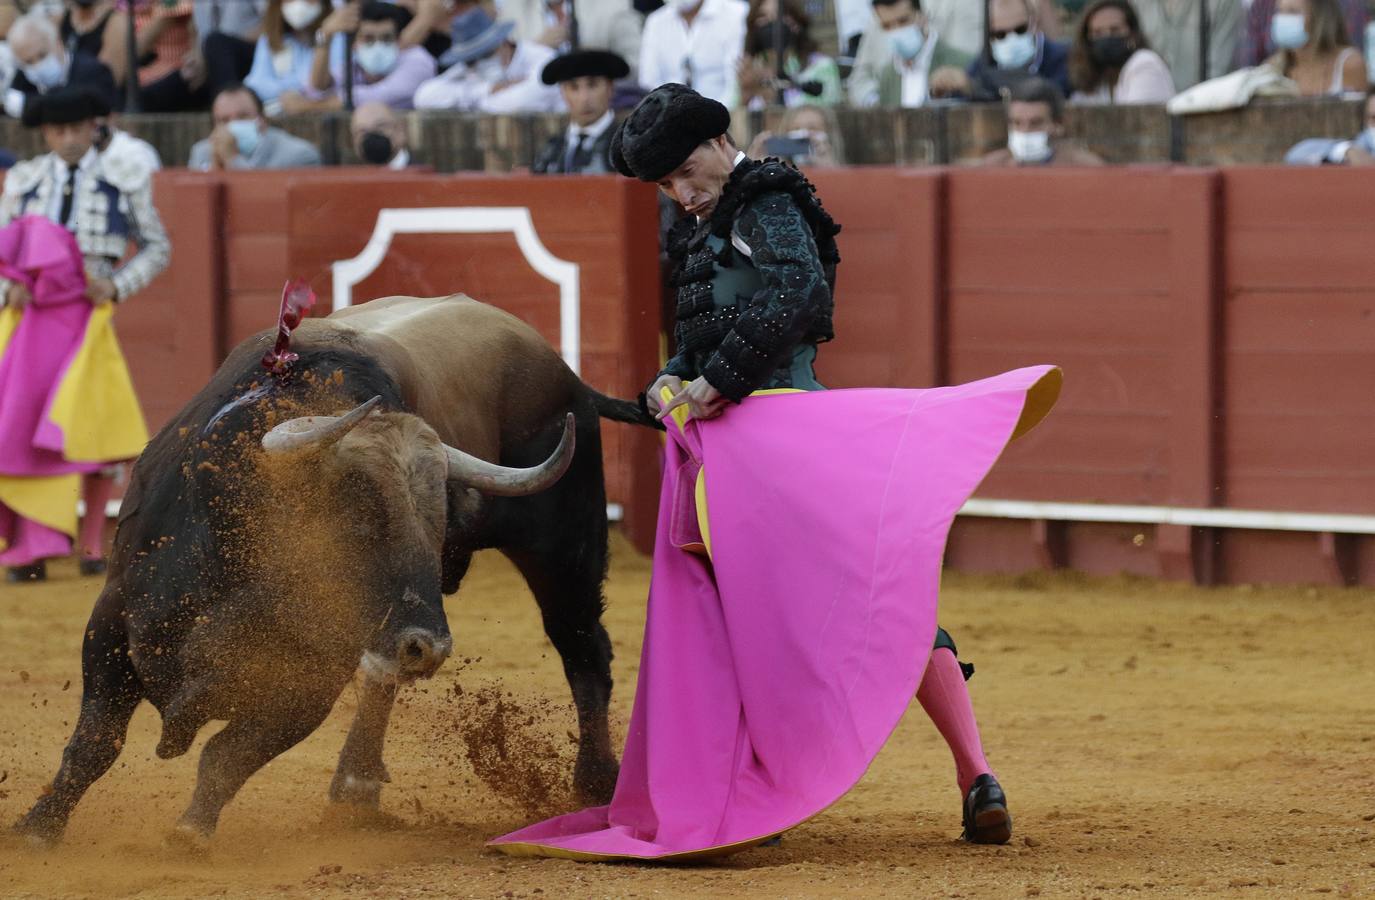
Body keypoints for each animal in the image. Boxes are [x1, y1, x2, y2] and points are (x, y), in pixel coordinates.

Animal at [14, 295, 649, 846]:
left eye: (439, 522)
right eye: (358, 516)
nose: (430, 647)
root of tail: (566, 375)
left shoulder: (310, 682)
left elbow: (227, 757)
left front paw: (190, 832)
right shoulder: (112, 618)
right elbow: (94, 743)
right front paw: (36, 829)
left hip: (564, 551)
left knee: (582, 647)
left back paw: (596, 784)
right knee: (387, 670)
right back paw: (356, 787)